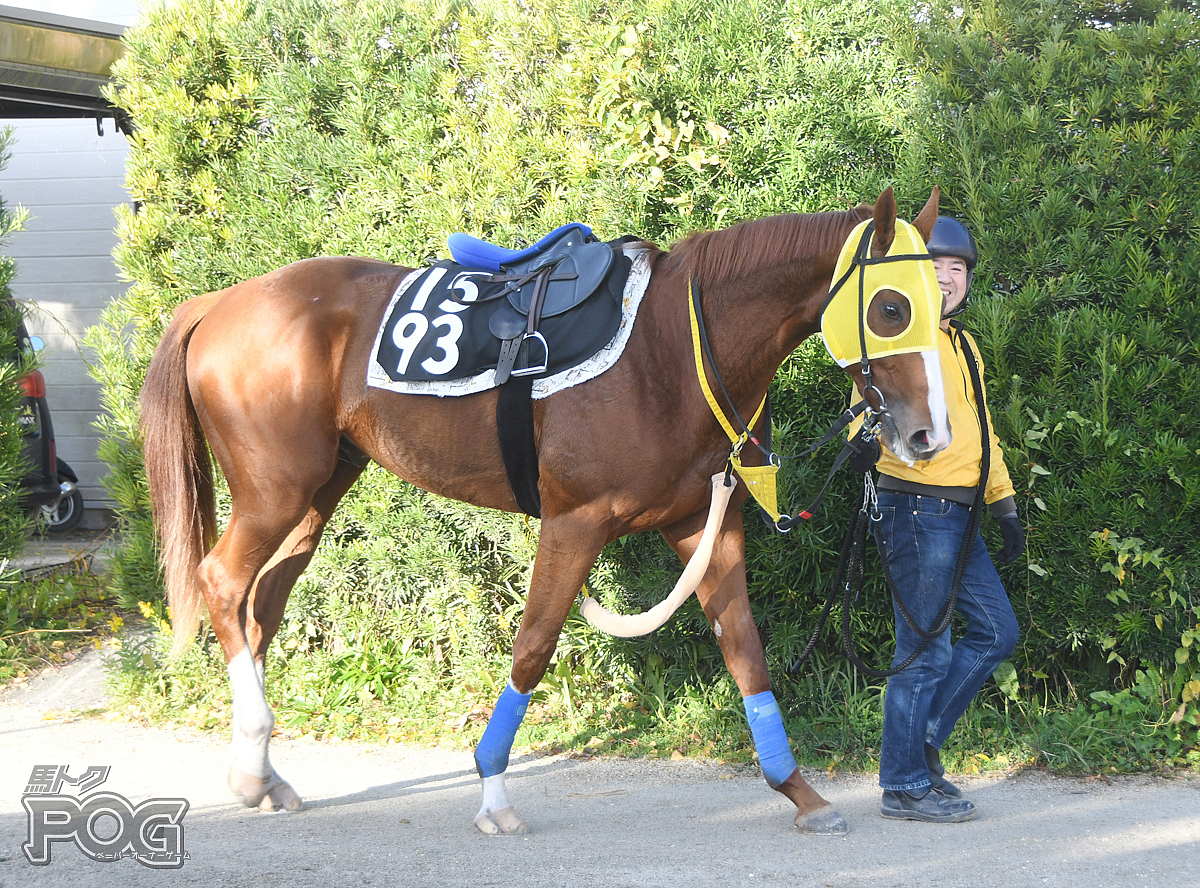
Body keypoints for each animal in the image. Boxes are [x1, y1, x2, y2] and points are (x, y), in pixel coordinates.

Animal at [140, 183, 945, 835]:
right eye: (892, 307)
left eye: (943, 305)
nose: (927, 434)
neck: (671, 351)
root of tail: (219, 302)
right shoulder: (574, 522)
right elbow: (533, 646)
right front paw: (493, 793)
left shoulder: (704, 525)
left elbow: (745, 650)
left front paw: (798, 791)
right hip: (275, 491)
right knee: (222, 582)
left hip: (315, 491)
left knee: (262, 603)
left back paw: (259, 773)